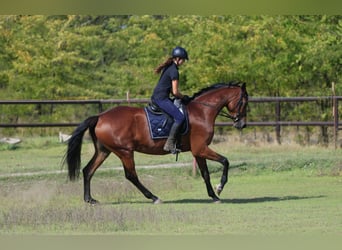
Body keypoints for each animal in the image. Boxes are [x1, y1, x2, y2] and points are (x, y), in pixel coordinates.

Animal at [64, 81, 247, 204]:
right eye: (244, 102)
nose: (241, 124)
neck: (202, 111)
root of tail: (100, 117)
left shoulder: (198, 151)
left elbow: (205, 174)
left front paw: (214, 196)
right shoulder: (201, 148)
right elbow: (225, 161)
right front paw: (220, 187)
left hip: (104, 151)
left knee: (88, 170)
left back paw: (89, 199)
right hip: (124, 152)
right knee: (131, 175)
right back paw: (153, 197)